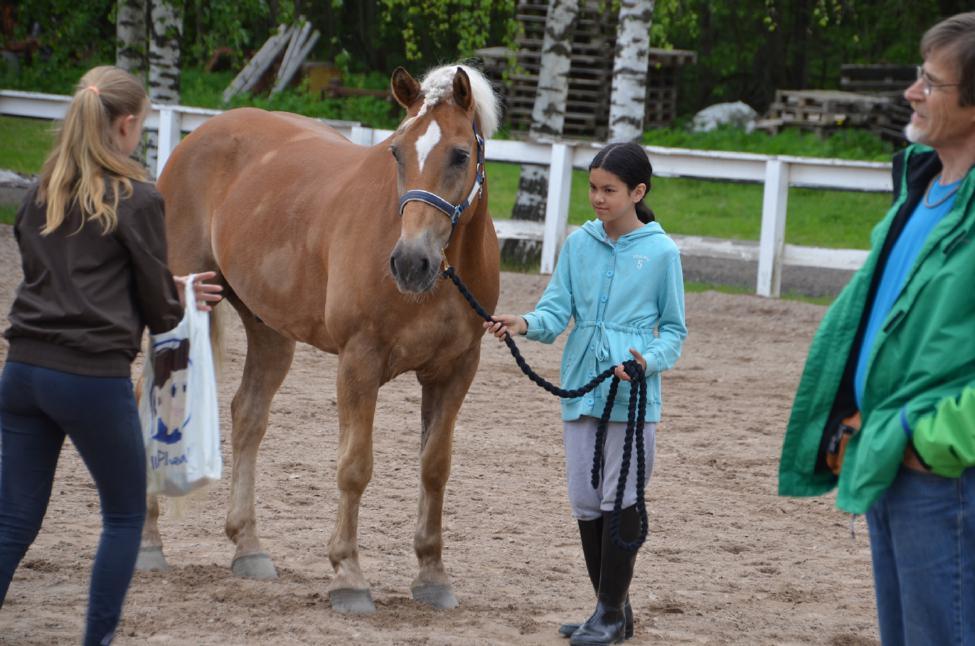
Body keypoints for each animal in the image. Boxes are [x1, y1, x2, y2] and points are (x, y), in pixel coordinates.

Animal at [138, 66, 504, 616]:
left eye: (461, 154)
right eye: (398, 152)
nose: (409, 263)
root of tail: (196, 139)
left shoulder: (457, 370)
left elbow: (434, 468)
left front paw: (432, 575)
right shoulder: (359, 362)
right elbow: (355, 467)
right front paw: (348, 574)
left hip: (269, 332)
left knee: (248, 416)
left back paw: (248, 547)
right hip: (177, 314)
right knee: (150, 405)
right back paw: (148, 542)